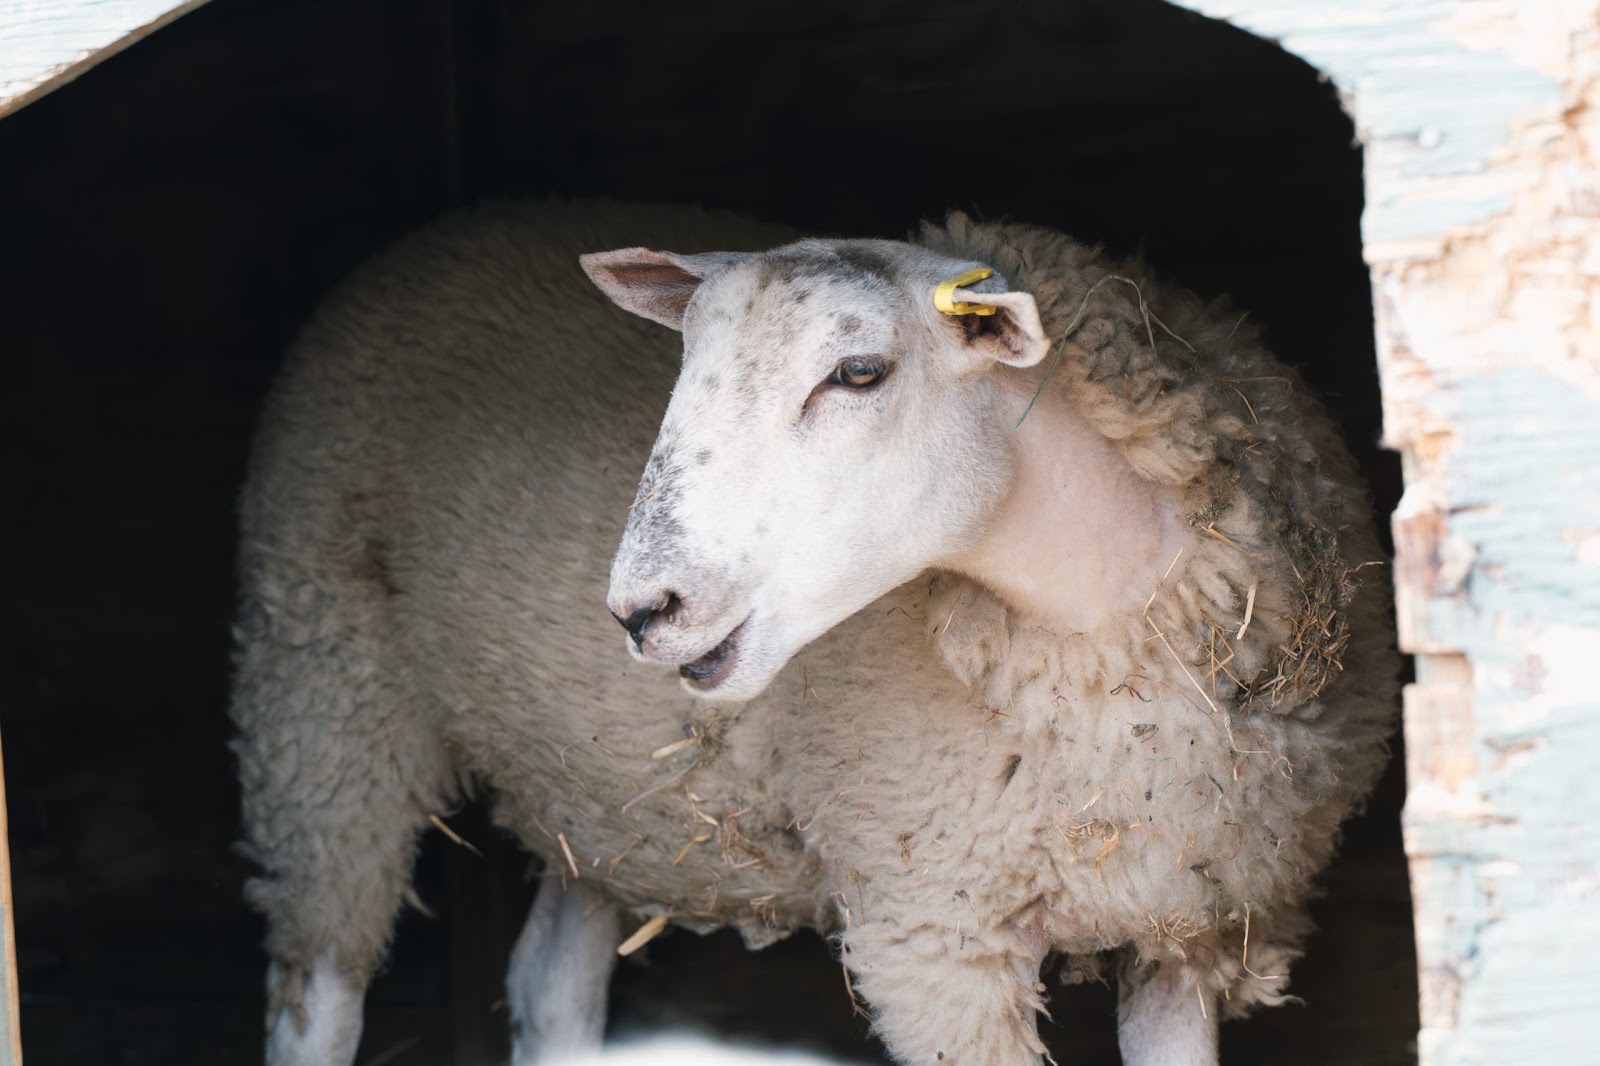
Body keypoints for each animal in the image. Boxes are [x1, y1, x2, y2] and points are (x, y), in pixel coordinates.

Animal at [231, 198, 1397, 1066]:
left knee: (550, 986)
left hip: (595, 790)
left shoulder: (1188, 925)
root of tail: (440, 229)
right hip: (322, 696)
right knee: (317, 988)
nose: (642, 608)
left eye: (859, 373)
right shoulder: (935, 936)